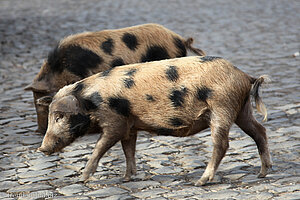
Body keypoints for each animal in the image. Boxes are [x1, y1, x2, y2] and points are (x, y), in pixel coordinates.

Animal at [37, 55, 272, 186]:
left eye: (59, 117)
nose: (42, 149)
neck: (91, 101)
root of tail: (244, 76)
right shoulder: (130, 126)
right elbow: (128, 150)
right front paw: (127, 178)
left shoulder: (115, 123)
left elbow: (99, 148)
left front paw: (82, 178)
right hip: (241, 110)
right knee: (260, 131)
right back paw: (262, 173)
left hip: (221, 108)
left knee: (222, 144)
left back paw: (201, 182)